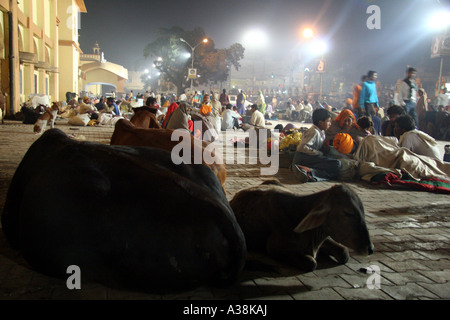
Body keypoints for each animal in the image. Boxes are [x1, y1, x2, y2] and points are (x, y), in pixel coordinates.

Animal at [230, 180, 374, 272]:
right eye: (348, 212)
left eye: (362, 210)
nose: (370, 248)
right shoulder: (273, 248)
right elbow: (311, 263)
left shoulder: (326, 235)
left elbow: (344, 253)